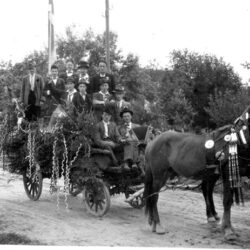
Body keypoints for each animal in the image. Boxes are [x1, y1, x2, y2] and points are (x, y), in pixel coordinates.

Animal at [144, 106, 249, 239]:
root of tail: (153, 142)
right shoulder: (227, 173)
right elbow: (227, 200)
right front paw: (228, 229)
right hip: (159, 174)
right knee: (154, 197)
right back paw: (158, 225)